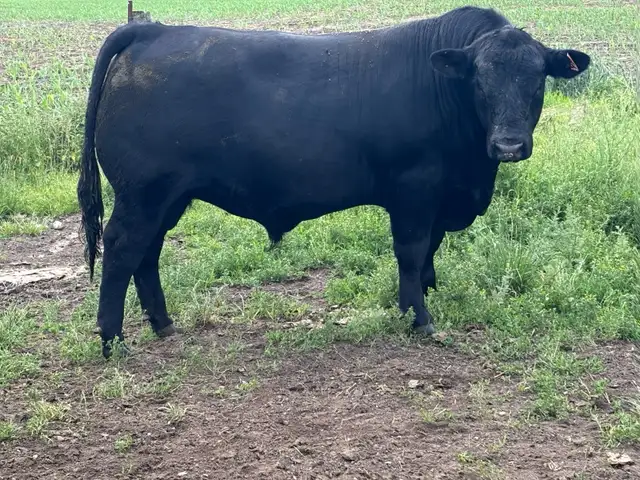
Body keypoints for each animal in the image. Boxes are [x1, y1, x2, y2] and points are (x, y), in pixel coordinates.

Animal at [77, 6, 590, 358]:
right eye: (479, 81)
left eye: (538, 80)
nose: (508, 145)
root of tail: (155, 29)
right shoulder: (414, 189)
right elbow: (411, 251)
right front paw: (418, 316)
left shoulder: (441, 198)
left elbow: (430, 251)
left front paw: (423, 295)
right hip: (143, 193)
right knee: (122, 250)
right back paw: (113, 341)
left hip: (167, 197)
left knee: (148, 254)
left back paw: (163, 324)